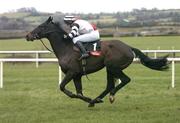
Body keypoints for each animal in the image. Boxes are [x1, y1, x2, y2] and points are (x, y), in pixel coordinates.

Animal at [25, 16, 169, 106]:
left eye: (41, 26)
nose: (27, 35)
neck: (65, 48)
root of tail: (129, 47)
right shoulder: (77, 75)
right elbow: (79, 93)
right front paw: (89, 100)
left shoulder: (71, 72)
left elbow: (62, 87)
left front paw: (86, 98)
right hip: (109, 68)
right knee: (109, 85)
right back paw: (96, 100)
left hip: (113, 67)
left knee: (124, 80)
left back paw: (109, 96)